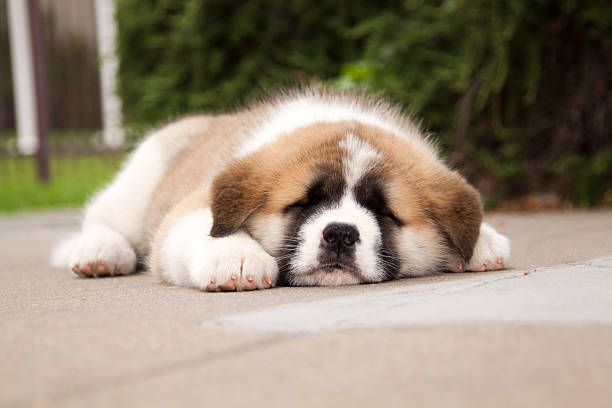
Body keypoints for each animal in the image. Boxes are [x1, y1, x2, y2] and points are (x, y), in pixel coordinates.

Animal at [53, 88, 512, 290]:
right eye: (303, 203)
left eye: (384, 212)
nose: (340, 234)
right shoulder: (190, 207)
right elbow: (200, 228)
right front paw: (237, 257)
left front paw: (484, 243)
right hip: (141, 177)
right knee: (103, 218)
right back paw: (100, 252)